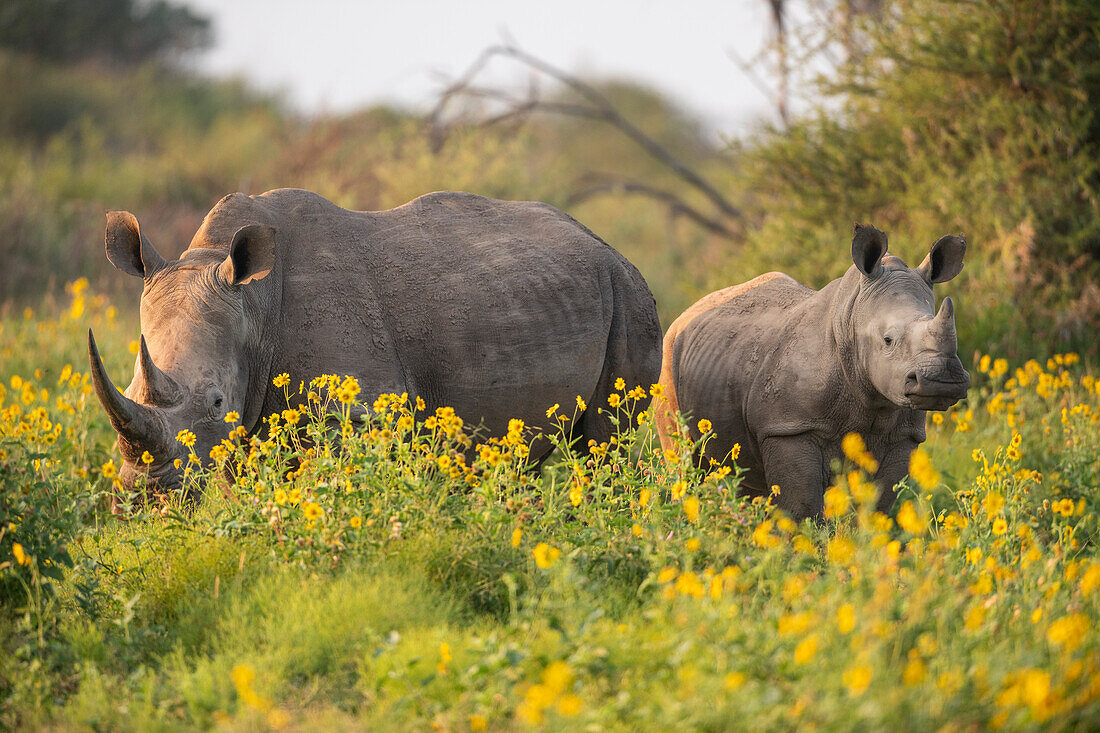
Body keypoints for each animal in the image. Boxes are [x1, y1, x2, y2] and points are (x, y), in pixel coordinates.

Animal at [90, 188, 655, 497]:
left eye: (214, 401)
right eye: (131, 387)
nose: (146, 491)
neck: (253, 306)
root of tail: (611, 248)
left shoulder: (354, 410)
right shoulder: (243, 426)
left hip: (627, 293)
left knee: (605, 445)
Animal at [655, 225, 968, 517]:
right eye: (888, 340)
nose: (942, 381)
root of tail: (686, 314)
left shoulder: (903, 435)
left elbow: (875, 506)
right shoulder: (788, 427)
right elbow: (802, 508)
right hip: (668, 359)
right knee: (683, 462)